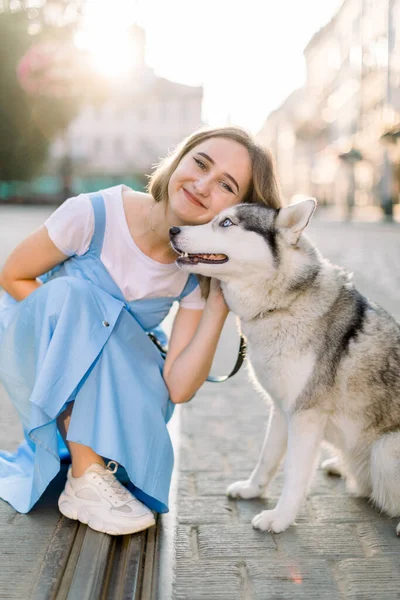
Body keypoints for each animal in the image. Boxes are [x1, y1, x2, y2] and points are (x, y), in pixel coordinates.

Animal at [169, 200, 400, 536]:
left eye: (226, 223)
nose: (172, 229)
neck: (280, 305)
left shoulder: (305, 415)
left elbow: (294, 471)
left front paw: (279, 518)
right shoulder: (281, 408)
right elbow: (267, 458)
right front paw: (252, 490)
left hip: (385, 449)